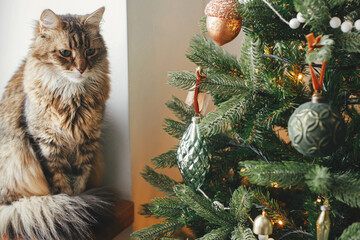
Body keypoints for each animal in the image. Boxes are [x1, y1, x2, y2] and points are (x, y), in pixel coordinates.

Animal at [0, 6, 116, 239]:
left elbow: (79, 182)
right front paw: (69, 205)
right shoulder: (45, 144)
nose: (81, 68)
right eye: (65, 53)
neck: (72, 98)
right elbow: (60, 185)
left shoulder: (87, 143)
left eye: (90, 52)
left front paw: (78, 202)